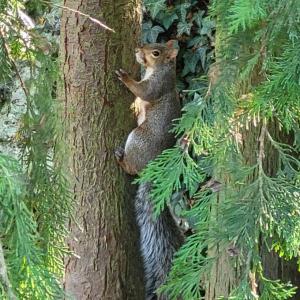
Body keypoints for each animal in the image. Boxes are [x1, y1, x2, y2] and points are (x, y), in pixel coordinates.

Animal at [116, 41, 184, 298]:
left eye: (155, 53)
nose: (138, 49)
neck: (159, 69)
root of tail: (152, 168)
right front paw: (136, 106)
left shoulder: (158, 85)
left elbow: (144, 91)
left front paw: (126, 78)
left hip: (137, 139)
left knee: (131, 169)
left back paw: (121, 159)